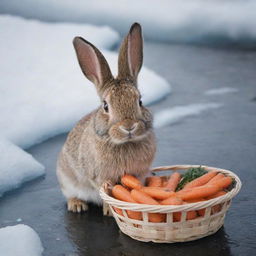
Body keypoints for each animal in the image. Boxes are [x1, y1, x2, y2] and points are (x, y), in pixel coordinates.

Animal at [56, 23, 156, 213]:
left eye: (140, 101)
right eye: (105, 106)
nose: (129, 126)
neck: (124, 143)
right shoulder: (97, 176)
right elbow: (106, 191)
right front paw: (110, 211)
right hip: (67, 180)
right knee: (70, 194)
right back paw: (77, 205)